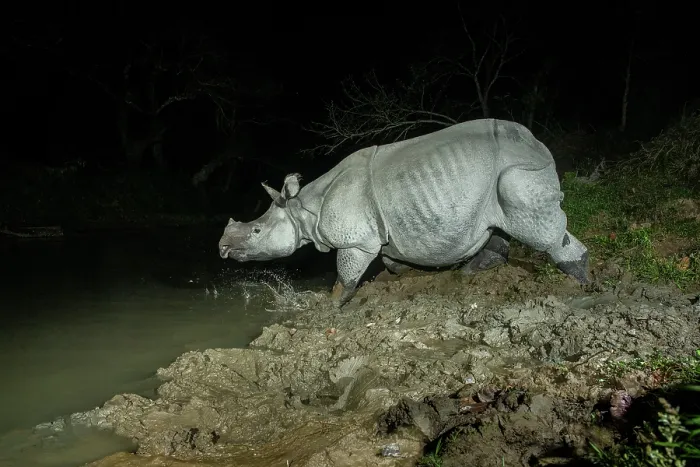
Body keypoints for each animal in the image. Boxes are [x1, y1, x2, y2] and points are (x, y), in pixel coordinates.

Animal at [219, 119, 589, 307]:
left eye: (256, 232)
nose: (222, 246)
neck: (302, 209)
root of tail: (537, 144)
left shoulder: (355, 241)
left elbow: (346, 277)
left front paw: (331, 305)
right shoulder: (379, 232)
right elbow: (392, 259)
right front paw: (405, 274)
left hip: (517, 168)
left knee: (535, 226)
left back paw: (580, 284)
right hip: (498, 175)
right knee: (499, 223)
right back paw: (469, 272)